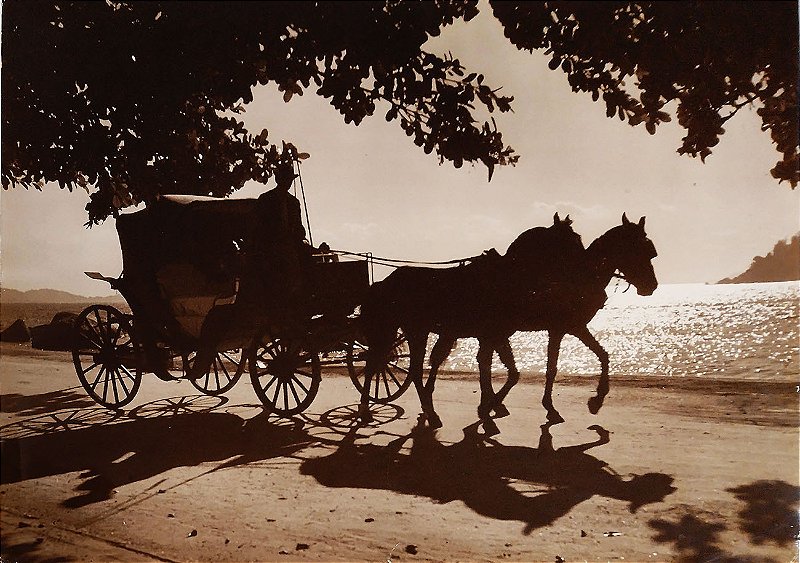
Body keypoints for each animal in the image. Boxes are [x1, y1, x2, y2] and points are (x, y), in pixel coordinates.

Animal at [360, 214, 656, 426]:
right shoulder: (557, 327)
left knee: (413, 367)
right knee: (385, 364)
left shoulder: (541, 329)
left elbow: (589, 358)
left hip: (419, 330)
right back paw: (369, 410)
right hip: (410, 329)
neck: (514, 277)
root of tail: (386, 282)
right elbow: (530, 368)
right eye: (638, 249)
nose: (651, 286)